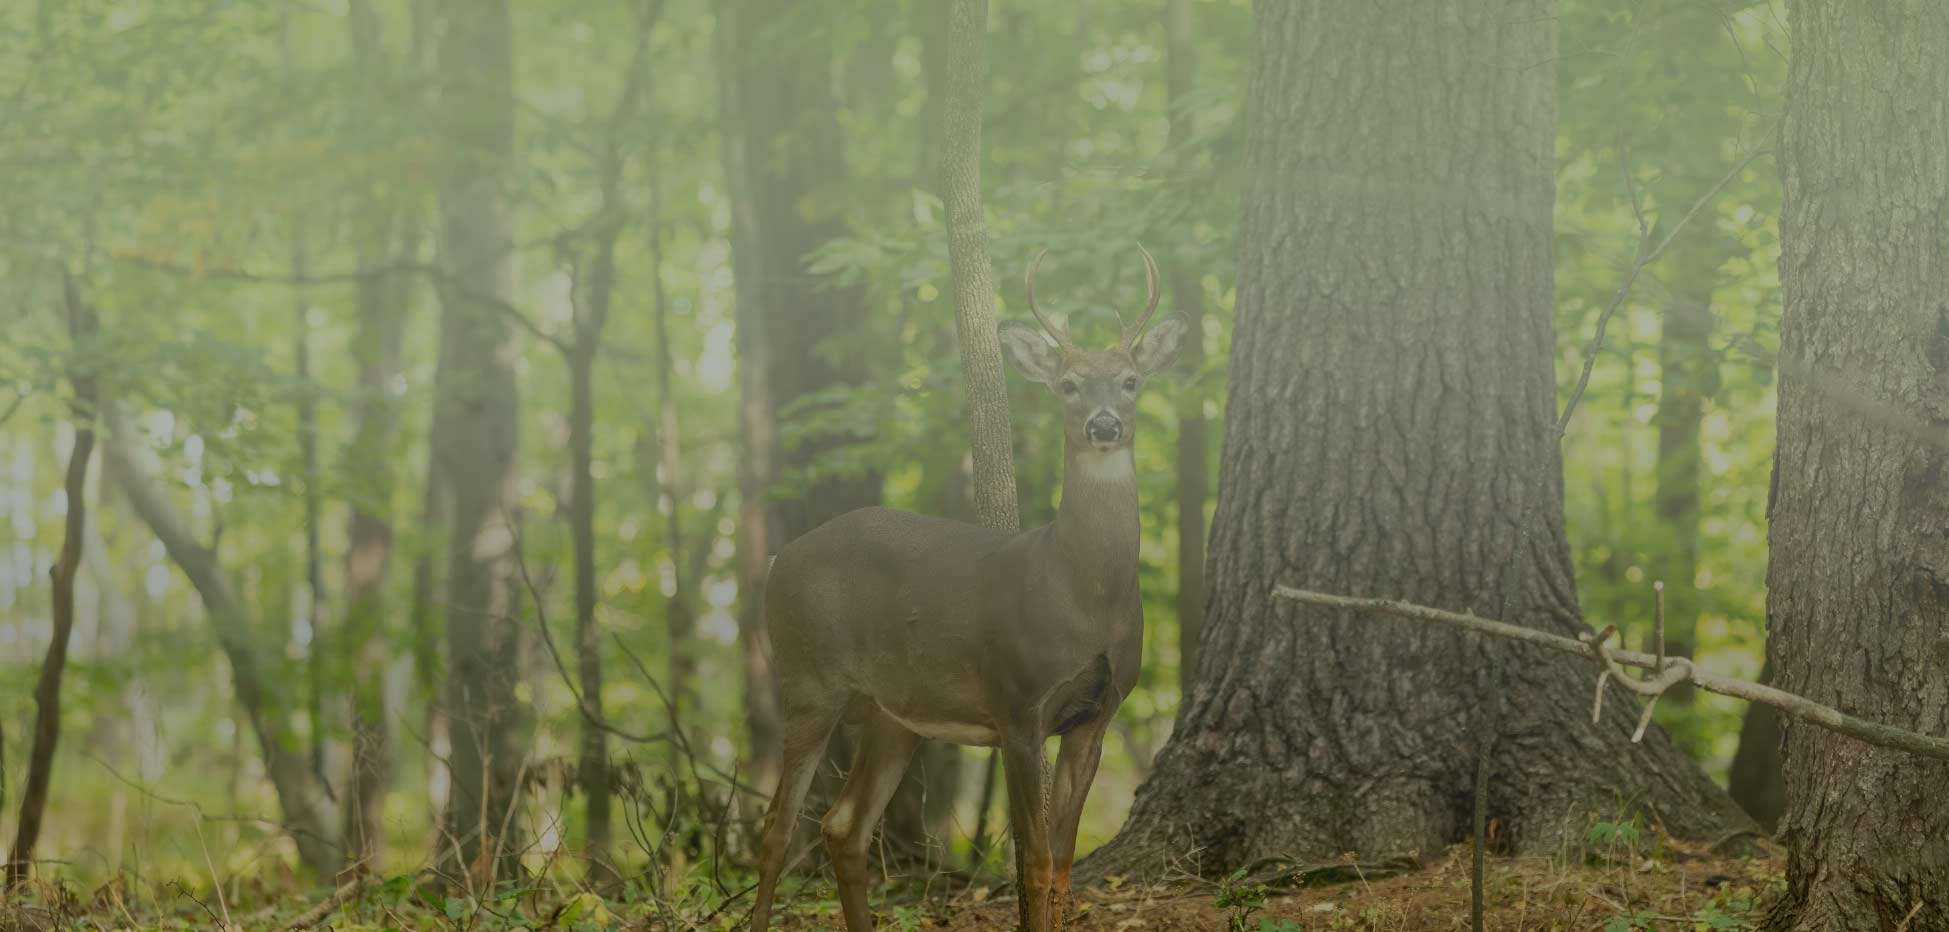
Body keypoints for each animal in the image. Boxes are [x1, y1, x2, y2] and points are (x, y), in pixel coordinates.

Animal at [736, 245, 1177, 932]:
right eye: (1068, 384)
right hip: (808, 677)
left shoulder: (1097, 716)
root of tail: (781, 558)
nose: (1104, 425)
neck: (1082, 593)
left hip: (893, 712)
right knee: (777, 825)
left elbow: (1064, 864)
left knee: (842, 825)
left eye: (1131, 380)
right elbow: (1036, 861)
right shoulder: (1016, 703)